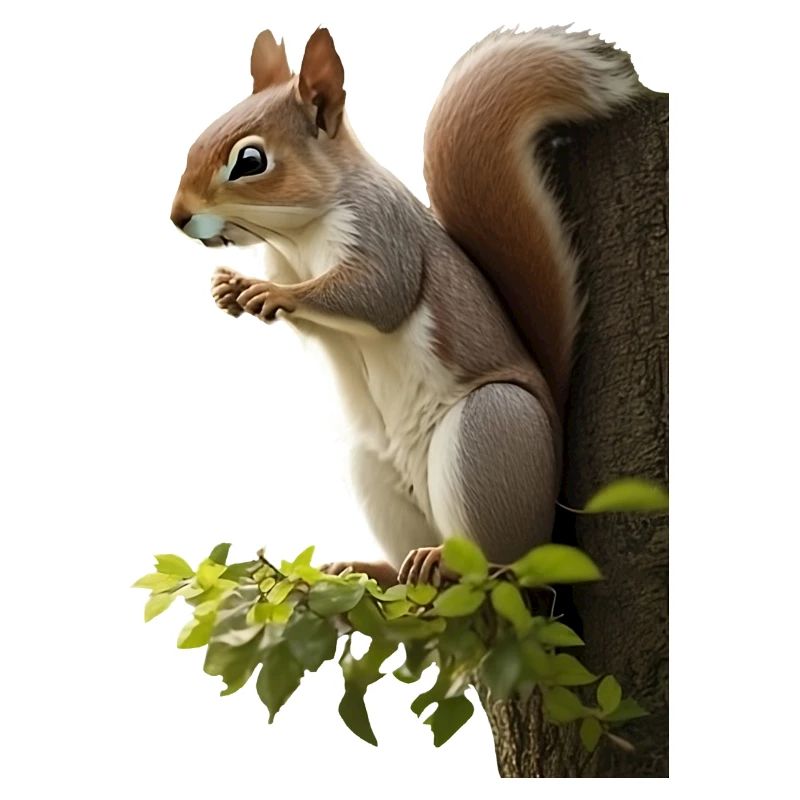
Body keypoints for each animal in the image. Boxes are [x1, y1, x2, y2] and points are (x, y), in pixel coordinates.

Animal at [170, 26, 642, 588]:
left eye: (249, 162)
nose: (177, 217)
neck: (297, 237)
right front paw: (231, 289)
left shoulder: (382, 230)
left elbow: (378, 295)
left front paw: (269, 292)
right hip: (375, 471)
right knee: (406, 560)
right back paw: (375, 567)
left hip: (494, 433)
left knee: (500, 563)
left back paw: (458, 562)